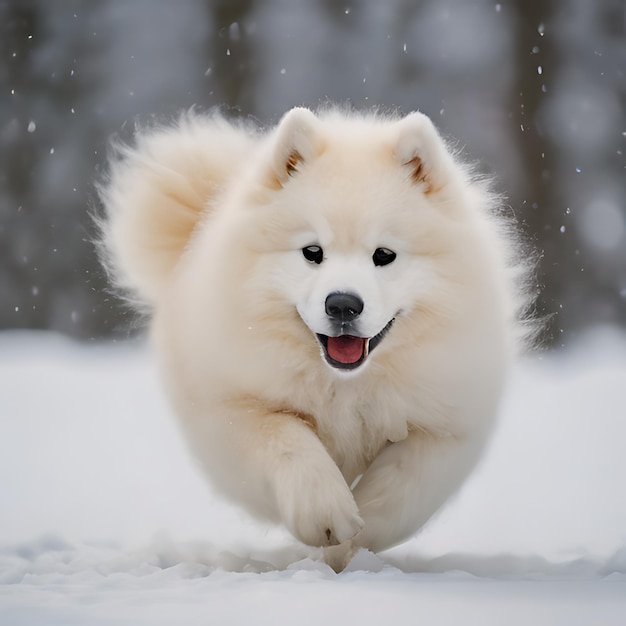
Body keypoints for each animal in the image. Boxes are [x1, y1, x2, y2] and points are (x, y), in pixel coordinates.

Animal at [98, 108, 532, 572]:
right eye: (312, 252)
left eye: (384, 255)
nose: (342, 304)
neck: (345, 386)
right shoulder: (233, 408)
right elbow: (288, 440)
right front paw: (326, 514)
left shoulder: (448, 423)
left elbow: (404, 481)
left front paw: (358, 534)